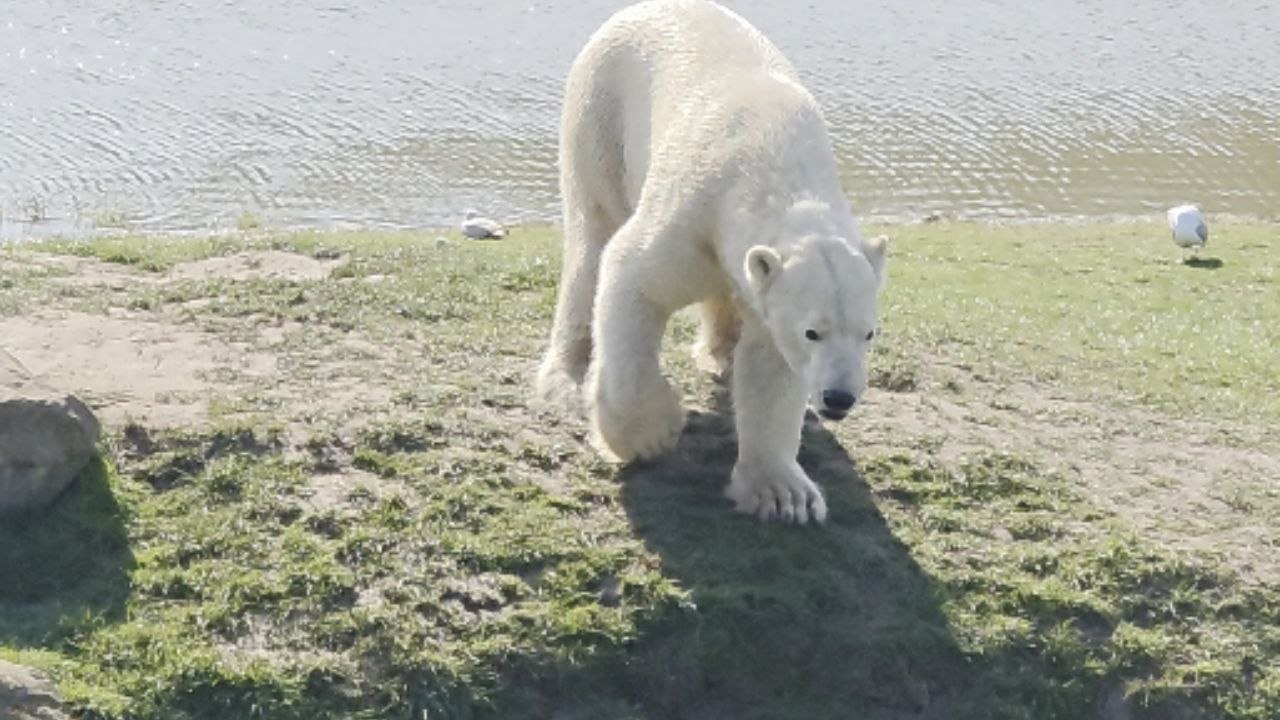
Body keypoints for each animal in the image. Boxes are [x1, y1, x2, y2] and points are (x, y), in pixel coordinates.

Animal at [535, 0, 887, 524]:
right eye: (813, 332)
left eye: (868, 333)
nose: (839, 398)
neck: (772, 164)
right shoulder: (694, 211)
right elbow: (631, 277)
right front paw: (650, 434)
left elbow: (770, 367)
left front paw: (784, 494)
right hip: (599, 116)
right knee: (592, 239)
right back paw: (568, 375)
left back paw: (721, 354)